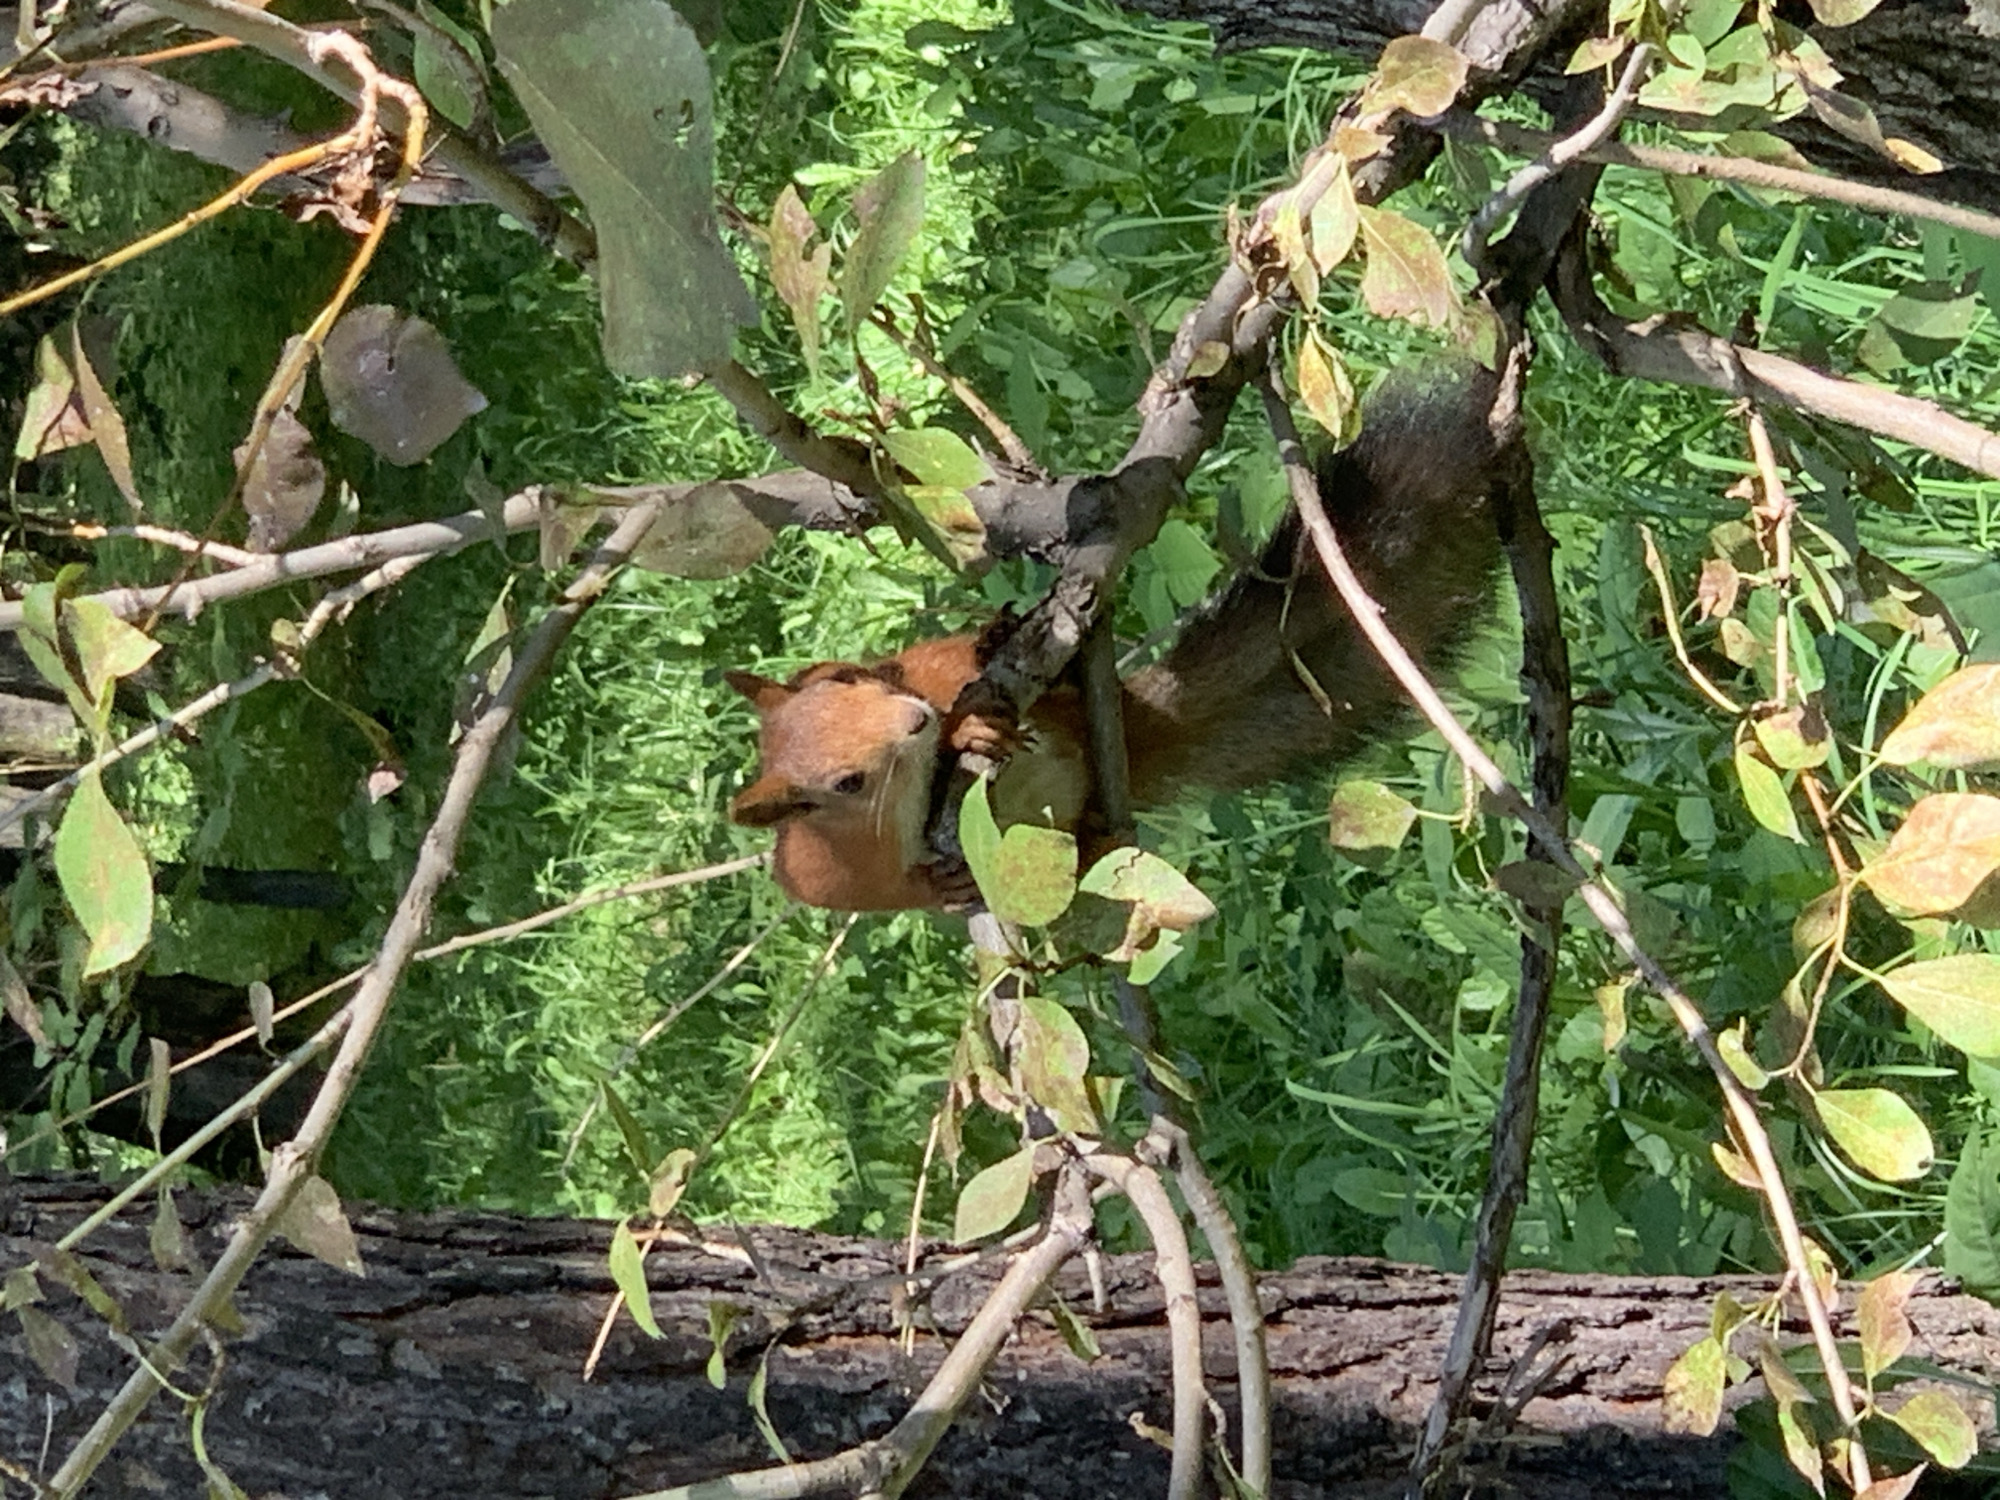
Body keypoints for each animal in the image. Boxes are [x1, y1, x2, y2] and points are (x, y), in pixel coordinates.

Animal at [727, 364, 1508, 911]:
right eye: (846, 782)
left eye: (850, 676)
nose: (916, 719)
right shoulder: (825, 871)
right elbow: (876, 888)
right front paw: (941, 888)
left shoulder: (919, 670)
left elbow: (954, 686)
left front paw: (970, 727)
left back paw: (1006, 653)